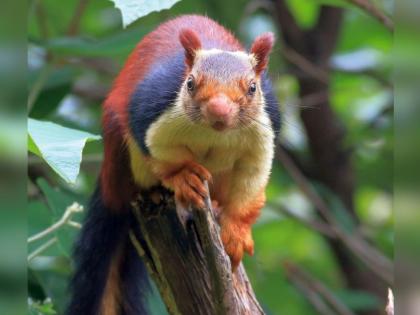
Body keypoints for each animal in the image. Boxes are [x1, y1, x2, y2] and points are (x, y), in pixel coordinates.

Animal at [67, 14, 280, 315]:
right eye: (190, 83)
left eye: (252, 87)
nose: (219, 111)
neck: (213, 133)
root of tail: (113, 190)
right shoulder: (151, 112)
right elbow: (161, 153)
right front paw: (184, 177)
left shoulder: (262, 137)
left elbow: (250, 183)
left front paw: (236, 233)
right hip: (123, 154)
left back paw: (216, 206)